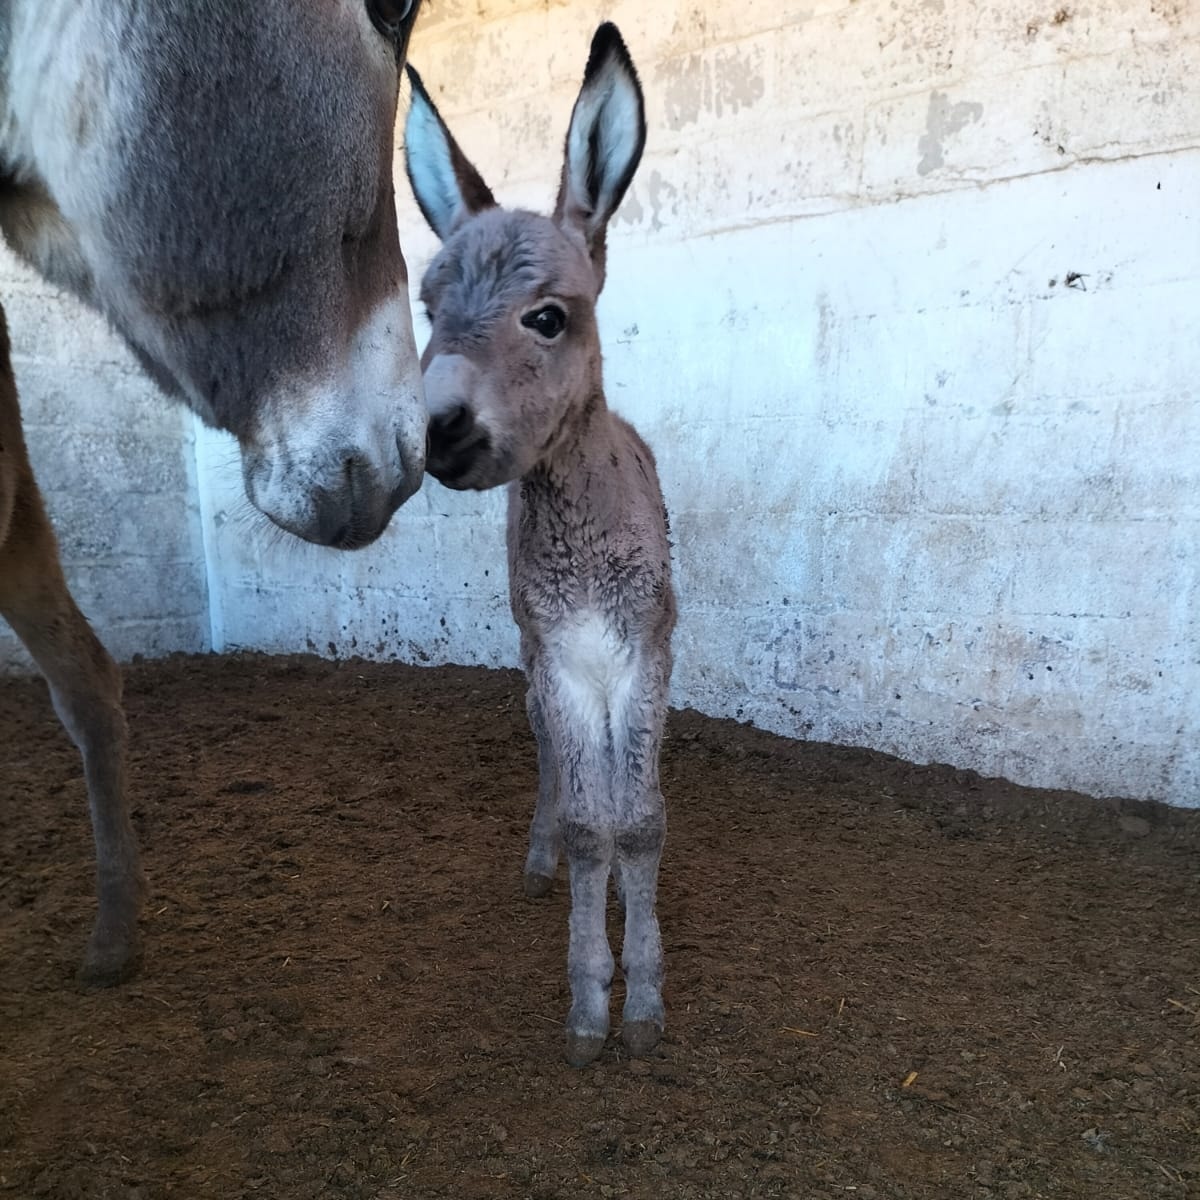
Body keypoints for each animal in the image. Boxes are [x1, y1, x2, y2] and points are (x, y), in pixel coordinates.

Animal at [408, 23, 676, 1065]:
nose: (435, 433)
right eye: (429, 310)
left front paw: (644, 1003)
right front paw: (591, 1003)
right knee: (553, 763)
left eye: (548, 317)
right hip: (534, 654)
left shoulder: (641, 656)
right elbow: (593, 824)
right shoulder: (563, 658)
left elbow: (638, 825)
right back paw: (543, 851)